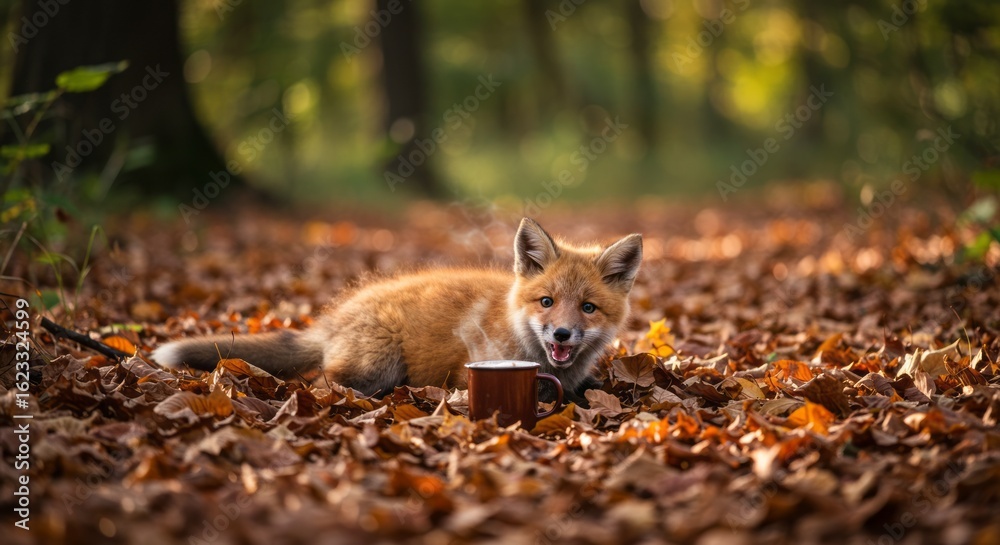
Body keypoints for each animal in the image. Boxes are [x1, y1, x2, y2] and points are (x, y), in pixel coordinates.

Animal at [151, 218, 642, 405]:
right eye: (546, 302)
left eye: (588, 308)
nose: (561, 335)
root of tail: (334, 317)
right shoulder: (467, 374)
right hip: (377, 364)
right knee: (321, 382)